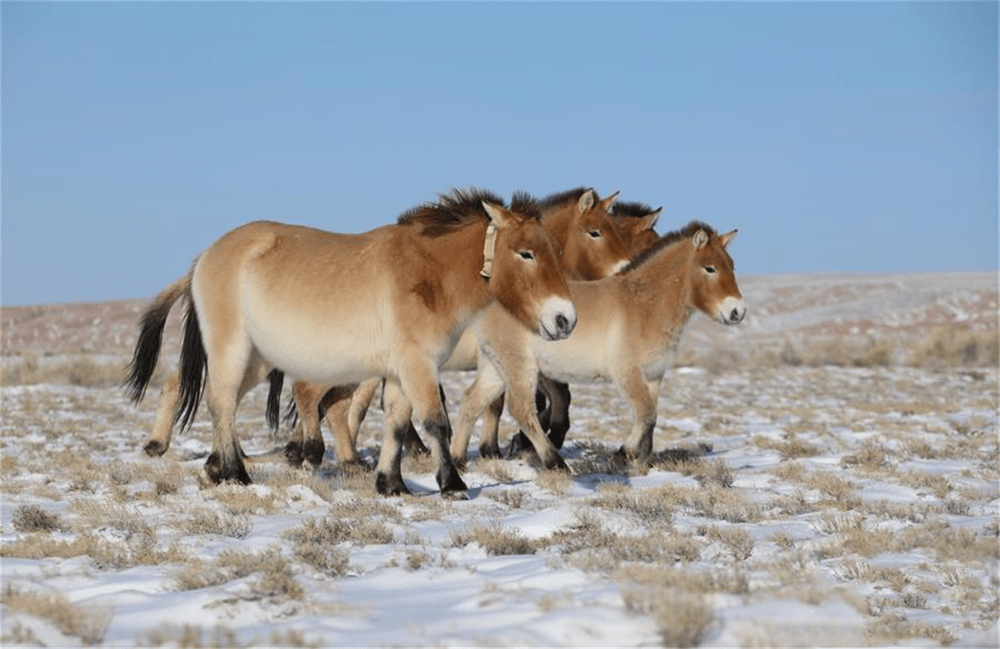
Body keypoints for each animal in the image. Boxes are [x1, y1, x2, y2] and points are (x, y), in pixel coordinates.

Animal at [126, 189, 580, 496]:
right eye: (526, 253)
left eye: (557, 252)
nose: (565, 319)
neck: (429, 275)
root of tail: (206, 255)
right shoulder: (418, 364)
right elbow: (435, 421)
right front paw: (452, 484)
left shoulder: (399, 371)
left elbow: (397, 424)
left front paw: (391, 484)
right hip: (231, 349)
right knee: (220, 403)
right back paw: (235, 473)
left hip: (257, 359)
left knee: (223, 401)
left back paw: (216, 468)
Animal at [286, 190, 660, 468]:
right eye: (596, 232)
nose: (628, 274)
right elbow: (531, 401)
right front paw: (507, 446)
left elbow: (516, 401)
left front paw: (500, 446)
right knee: (322, 396)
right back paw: (321, 454)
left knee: (343, 403)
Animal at [450, 220, 748, 468]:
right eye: (709, 268)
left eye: (732, 266)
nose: (737, 312)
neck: (644, 305)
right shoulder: (627, 373)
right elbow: (645, 413)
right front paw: (624, 454)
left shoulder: (654, 375)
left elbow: (652, 418)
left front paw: (643, 460)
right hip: (520, 366)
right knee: (522, 410)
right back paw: (555, 463)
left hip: (496, 368)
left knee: (472, 402)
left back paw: (457, 460)